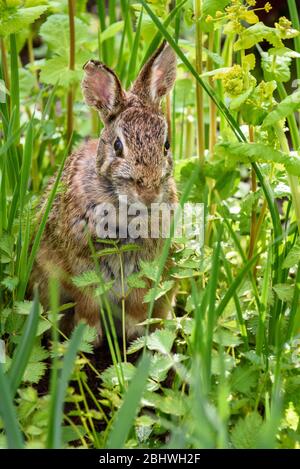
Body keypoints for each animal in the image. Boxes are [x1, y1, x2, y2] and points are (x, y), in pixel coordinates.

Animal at [29, 43, 177, 344]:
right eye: (118, 146)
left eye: (166, 145)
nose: (149, 193)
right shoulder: (81, 269)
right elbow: (88, 304)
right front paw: (88, 337)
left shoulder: (145, 273)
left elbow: (138, 306)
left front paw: (135, 337)